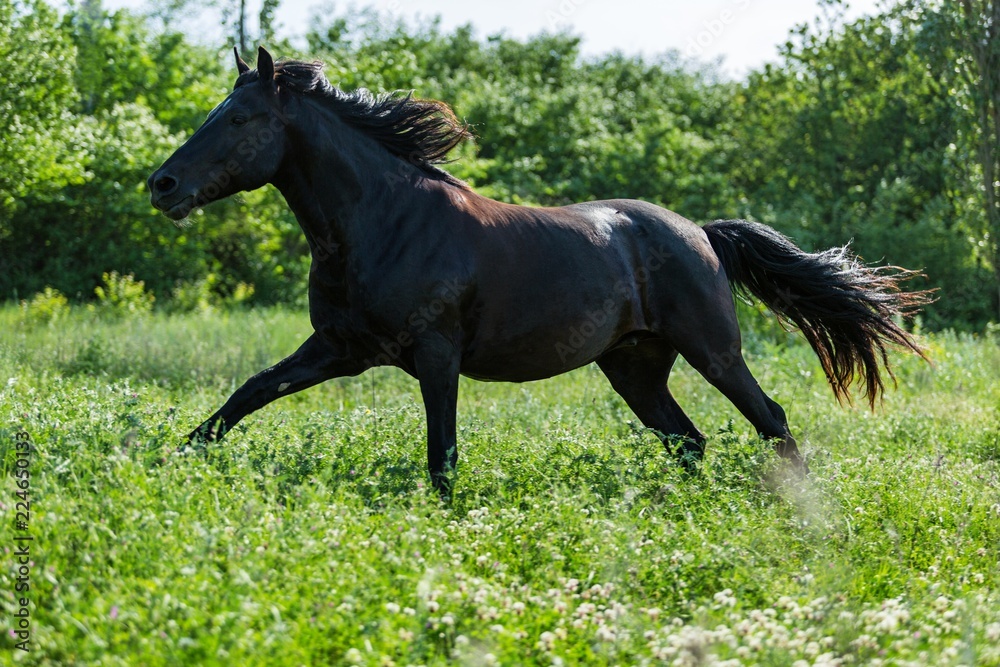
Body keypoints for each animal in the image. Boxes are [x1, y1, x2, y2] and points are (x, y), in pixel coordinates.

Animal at [146, 47, 928, 496]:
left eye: (240, 118)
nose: (163, 185)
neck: (384, 221)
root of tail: (699, 233)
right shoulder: (339, 349)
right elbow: (242, 398)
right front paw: (164, 463)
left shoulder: (435, 355)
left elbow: (442, 456)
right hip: (635, 367)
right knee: (689, 441)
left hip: (714, 350)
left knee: (771, 420)